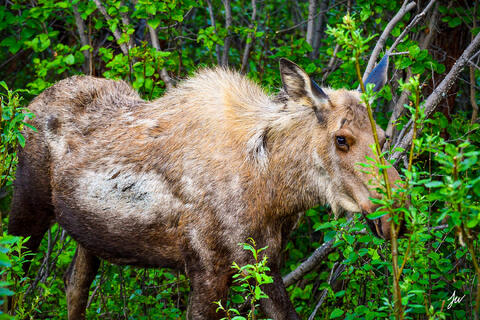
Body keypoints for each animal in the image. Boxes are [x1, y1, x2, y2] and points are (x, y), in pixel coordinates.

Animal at [9, 58, 404, 318]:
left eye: (384, 138)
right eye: (341, 139)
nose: (395, 217)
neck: (277, 193)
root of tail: (31, 102)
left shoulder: (263, 261)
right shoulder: (206, 268)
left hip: (89, 237)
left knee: (73, 285)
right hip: (27, 208)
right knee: (14, 281)